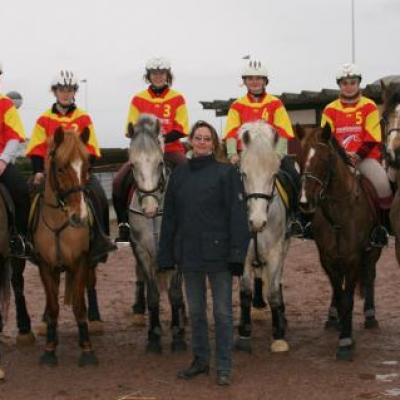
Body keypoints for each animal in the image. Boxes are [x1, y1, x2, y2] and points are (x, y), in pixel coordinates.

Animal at [31, 126, 98, 368]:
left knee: (90, 287)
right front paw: (50, 350)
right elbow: (53, 308)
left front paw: (87, 350)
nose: (79, 217)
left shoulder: (81, 262)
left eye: (88, 167)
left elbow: (79, 307)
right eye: (60, 168)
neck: (60, 223)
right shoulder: (45, 266)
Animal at [127, 115, 187, 354]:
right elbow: (152, 295)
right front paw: (153, 336)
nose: (150, 208)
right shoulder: (141, 250)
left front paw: (178, 336)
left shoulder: (176, 249)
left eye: (159, 163)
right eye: (132, 164)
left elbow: (175, 293)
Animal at [296, 123, 382, 360]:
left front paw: (345, 341)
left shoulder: (353, 259)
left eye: (325, 159)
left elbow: (349, 298)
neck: (338, 215)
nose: (305, 202)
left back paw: (370, 316)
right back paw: (333, 318)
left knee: (370, 276)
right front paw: (343, 330)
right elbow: (339, 293)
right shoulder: (327, 258)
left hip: (372, 252)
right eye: (299, 157)